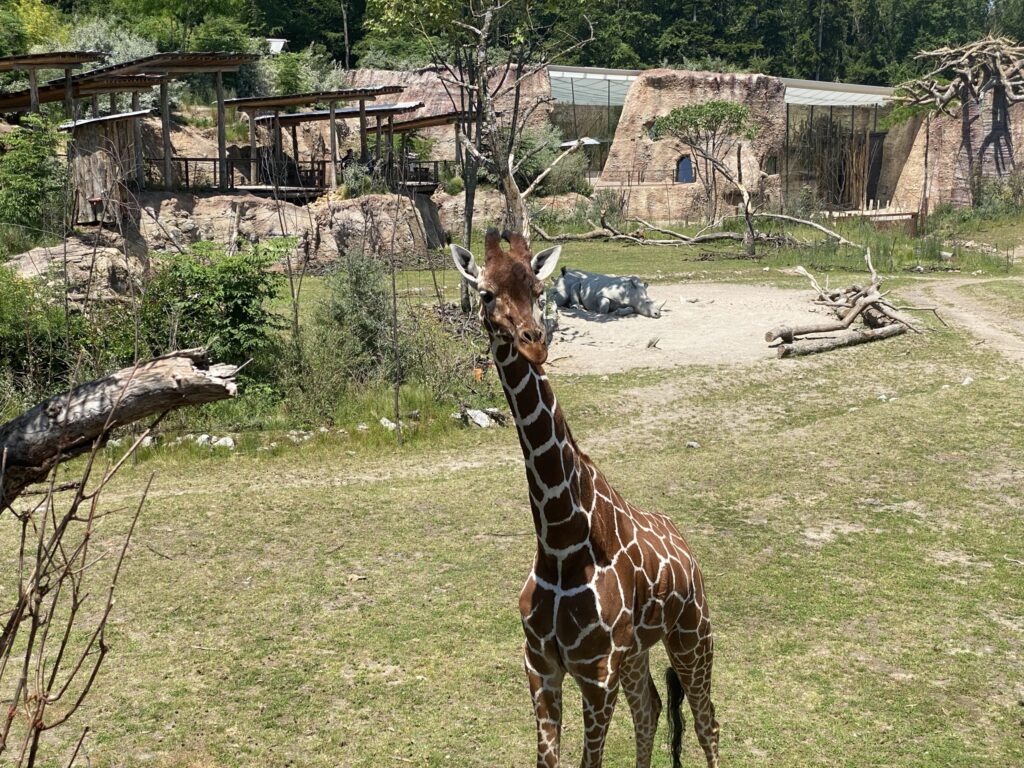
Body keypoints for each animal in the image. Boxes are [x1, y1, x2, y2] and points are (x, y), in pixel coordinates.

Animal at [451, 230, 720, 768]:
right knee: (651, 708)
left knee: (707, 722)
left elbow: (588, 760)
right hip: (638, 651)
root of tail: (686, 547)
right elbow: (550, 759)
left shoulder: (596, 675)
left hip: (692, 636)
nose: (534, 342)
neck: (559, 542)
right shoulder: (540, 667)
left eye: (539, 289)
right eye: (486, 294)